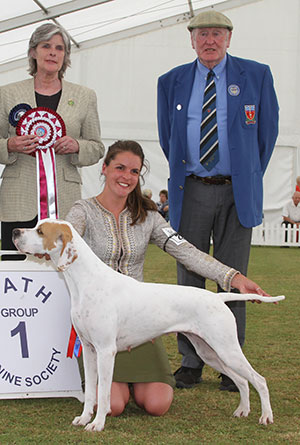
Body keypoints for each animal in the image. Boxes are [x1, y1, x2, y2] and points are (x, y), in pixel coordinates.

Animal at [11, 219, 284, 430]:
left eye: (40, 231)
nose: (14, 231)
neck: (86, 282)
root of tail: (218, 297)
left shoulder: (106, 351)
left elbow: (104, 392)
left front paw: (97, 424)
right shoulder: (89, 350)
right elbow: (90, 393)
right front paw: (84, 418)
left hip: (227, 349)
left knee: (258, 380)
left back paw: (265, 416)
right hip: (210, 352)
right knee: (241, 381)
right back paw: (242, 411)